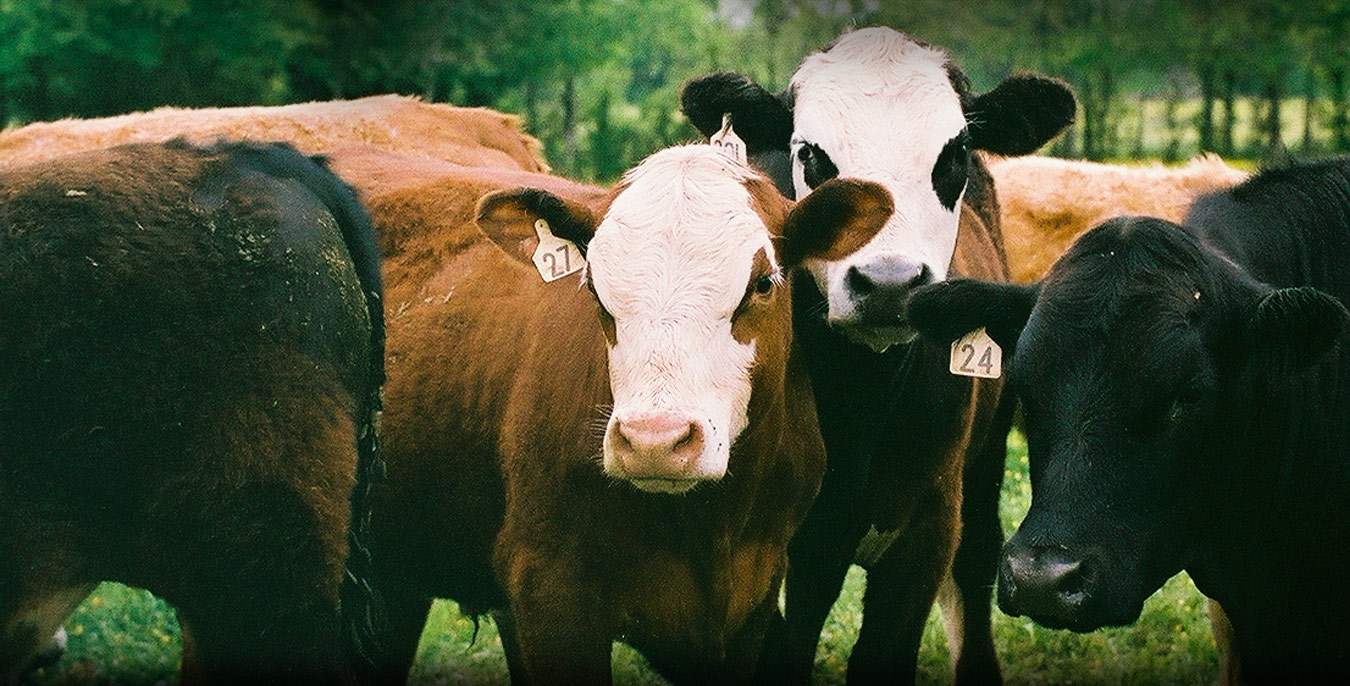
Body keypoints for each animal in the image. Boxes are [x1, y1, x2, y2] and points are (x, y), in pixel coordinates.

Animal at [325, 141, 891, 683]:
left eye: (763, 284)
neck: (709, 526)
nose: (654, 441)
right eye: (594, 287)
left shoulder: (752, 600)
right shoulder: (551, 597)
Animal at [685, 25, 1074, 686]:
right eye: (810, 155)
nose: (889, 282)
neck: (859, 399)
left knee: (975, 562)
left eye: (954, 153)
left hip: (986, 458)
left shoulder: (928, 526)